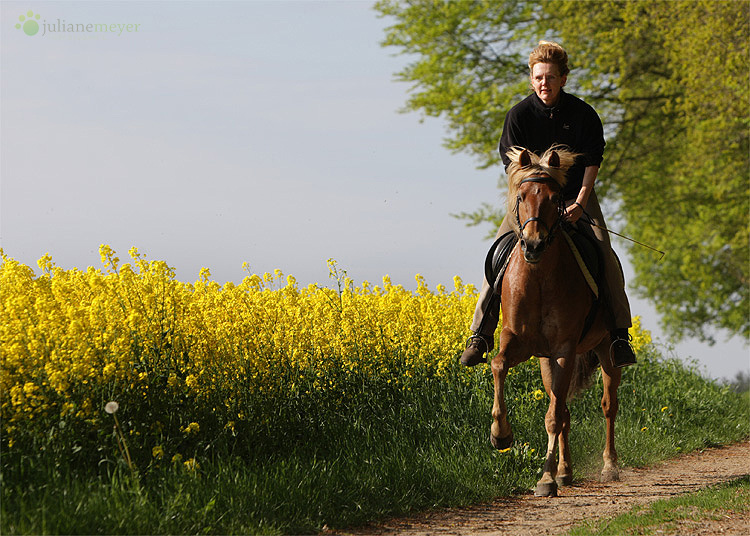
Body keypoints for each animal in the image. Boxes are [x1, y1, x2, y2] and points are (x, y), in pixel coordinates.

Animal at [490, 144, 620, 496]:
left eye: (554, 198)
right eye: (521, 196)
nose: (533, 244)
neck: (538, 277)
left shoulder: (564, 347)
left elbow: (552, 417)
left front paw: (545, 479)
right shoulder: (518, 339)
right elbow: (498, 364)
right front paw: (500, 435)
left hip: (605, 351)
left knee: (607, 406)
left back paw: (609, 466)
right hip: (546, 359)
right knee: (564, 410)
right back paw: (565, 471)